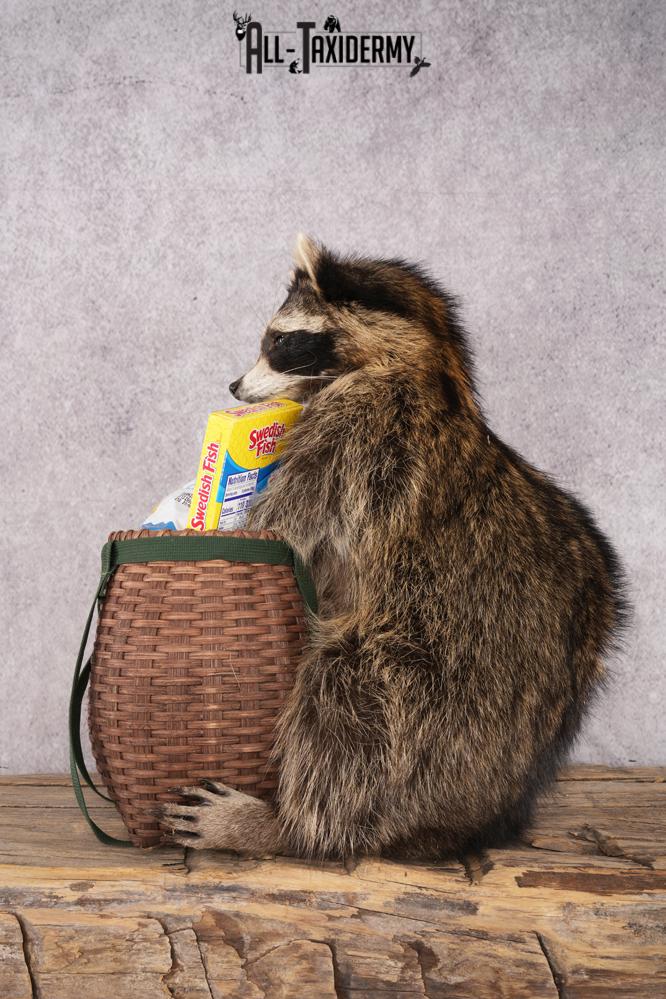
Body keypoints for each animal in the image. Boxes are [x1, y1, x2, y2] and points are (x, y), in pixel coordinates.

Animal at [159, 234, 627, 859]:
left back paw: (286, 825)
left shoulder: (354, 435)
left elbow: (282, 531)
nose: (234, 387)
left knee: (347, 705)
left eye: (279, 341)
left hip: (431, 683)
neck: (429, 364)